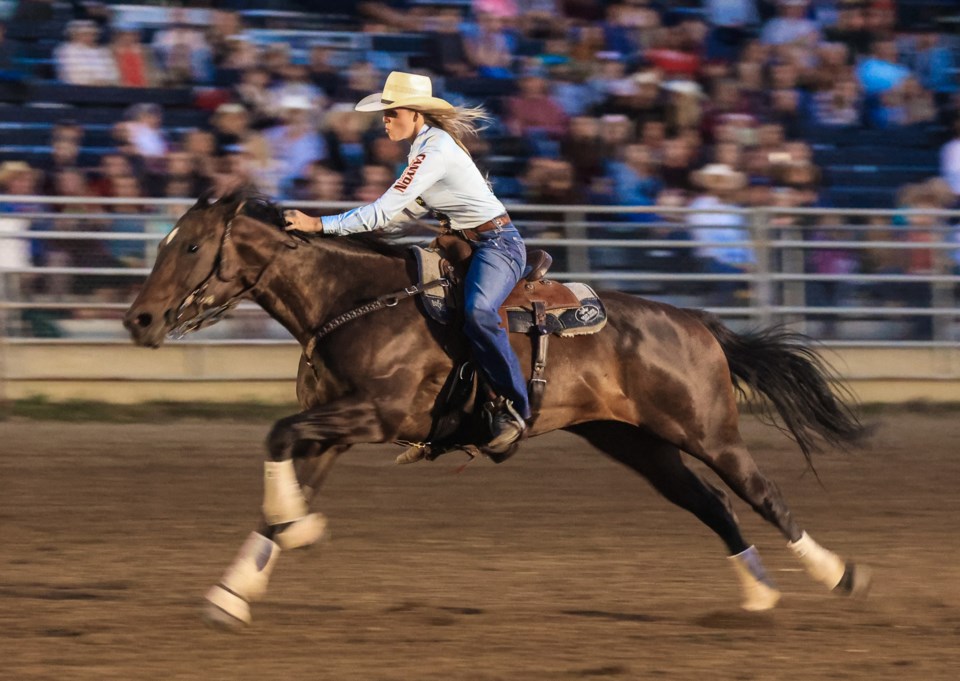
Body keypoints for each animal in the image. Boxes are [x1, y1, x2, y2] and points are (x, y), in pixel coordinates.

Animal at [122, 190, 872, 628]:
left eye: (192, 245)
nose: (139, 319)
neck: (352, 300)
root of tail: (695, 320)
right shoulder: (333, 428)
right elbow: (281, 483)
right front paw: (234, 591)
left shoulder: (376, 414)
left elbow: (276, 439)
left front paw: (299, 535)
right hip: (636, 442)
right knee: (710, 502)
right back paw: (759, 595)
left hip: (707, 430)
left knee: (762, 493)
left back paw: (842, 575)